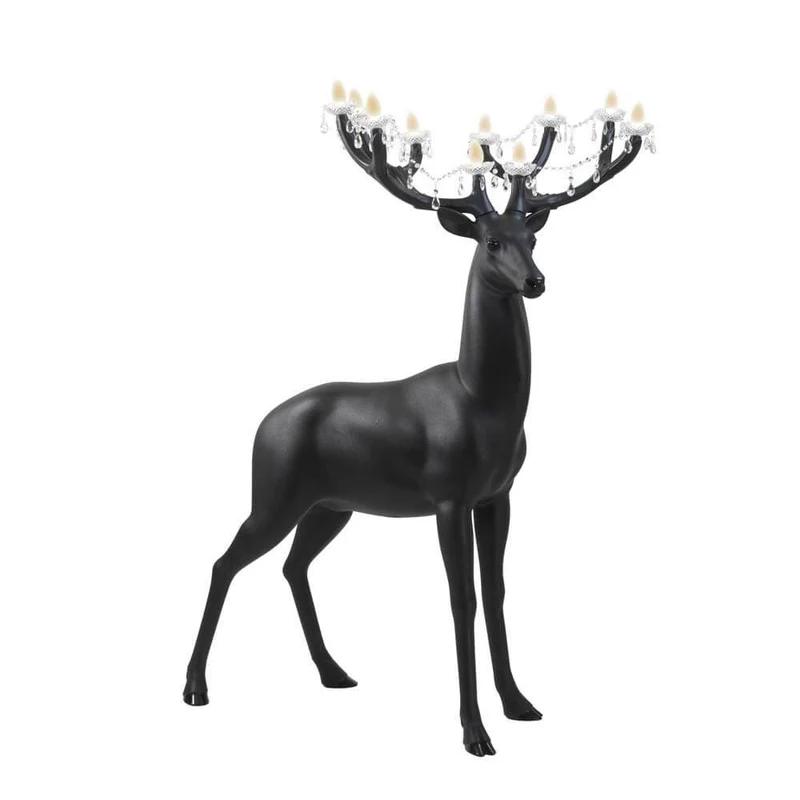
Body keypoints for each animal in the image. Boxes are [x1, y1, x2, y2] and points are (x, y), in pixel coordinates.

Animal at [183, 95, 644, 756]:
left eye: (532, 236)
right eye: (491, 242)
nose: (536, 281)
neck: (484, 402)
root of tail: (262, 425)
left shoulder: (498, 494)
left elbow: (497, 590)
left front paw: (519, 704)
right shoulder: (448, 495)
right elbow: (461, 598)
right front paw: (474, 731)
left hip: (331, 505)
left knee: (293, 565)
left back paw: (334, 672)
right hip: (273, 492)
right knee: (225, 562)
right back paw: (195, 687)